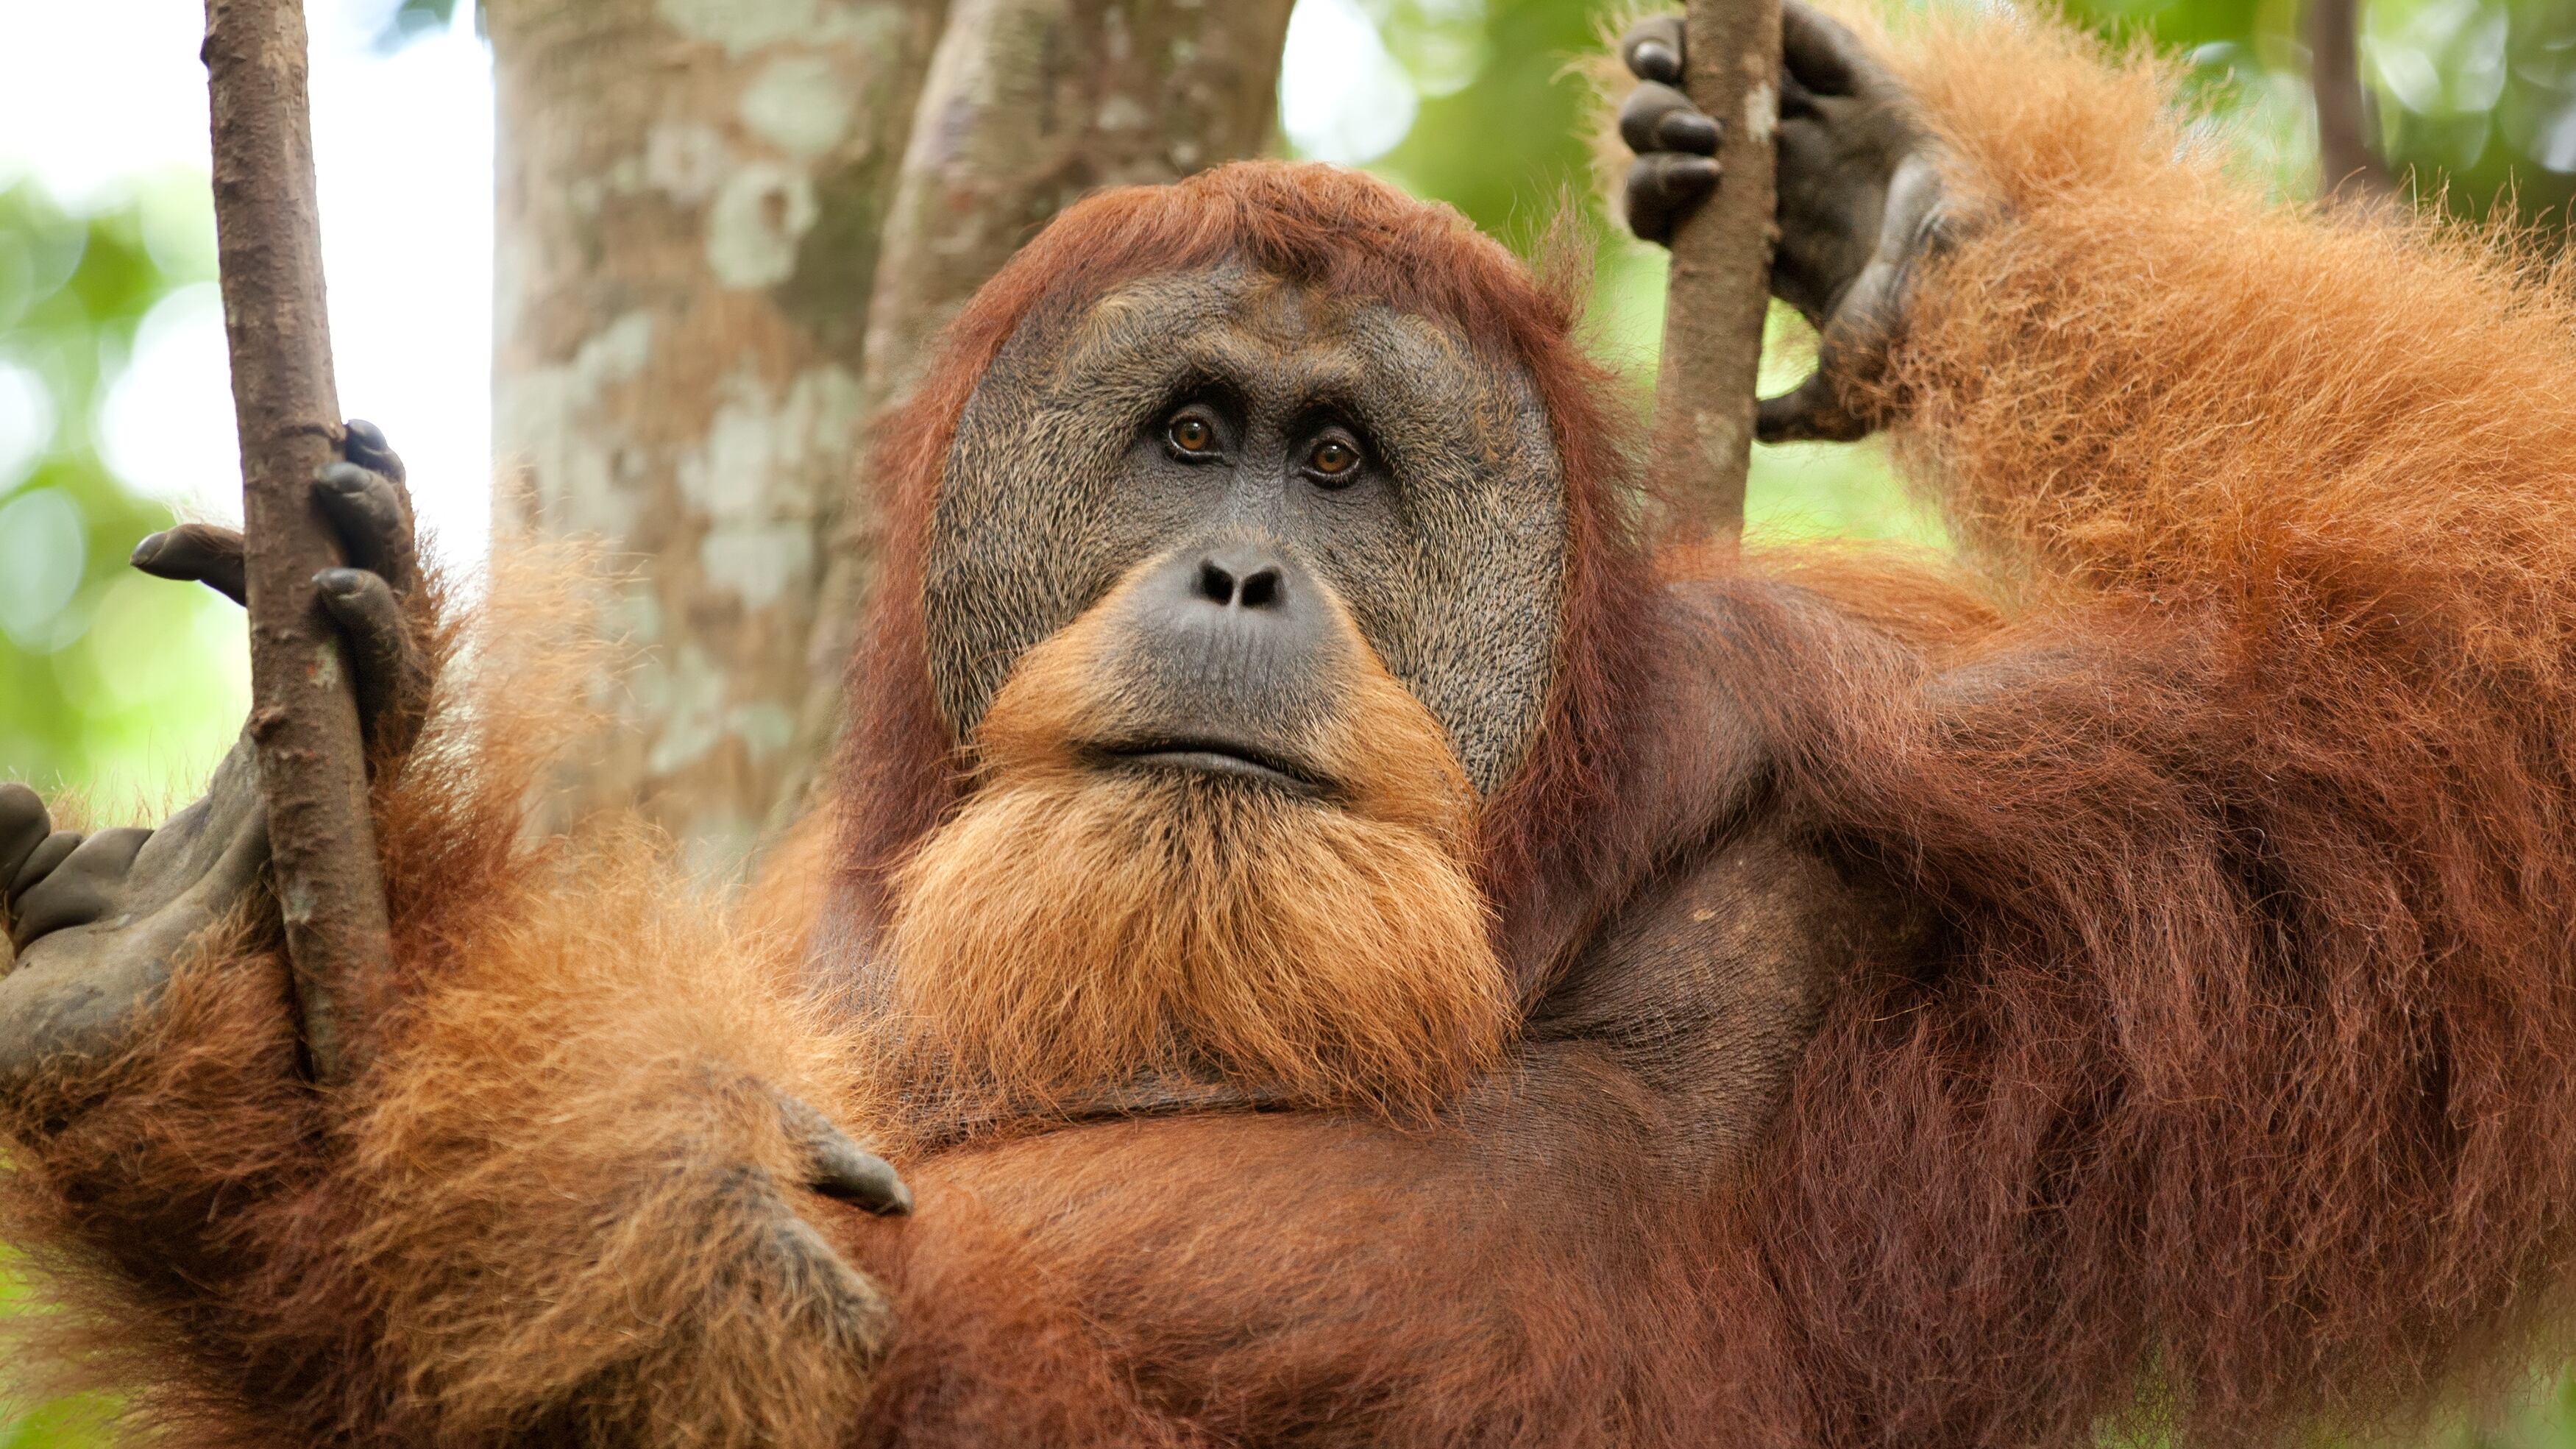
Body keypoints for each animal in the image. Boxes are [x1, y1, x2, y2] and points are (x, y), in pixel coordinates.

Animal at [7, 1, 2576, 1445]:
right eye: (1189, 437)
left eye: (1338, 466)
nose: (1242, 573)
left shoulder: (1895, 727)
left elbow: (2483, 689)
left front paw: (1922, 186)